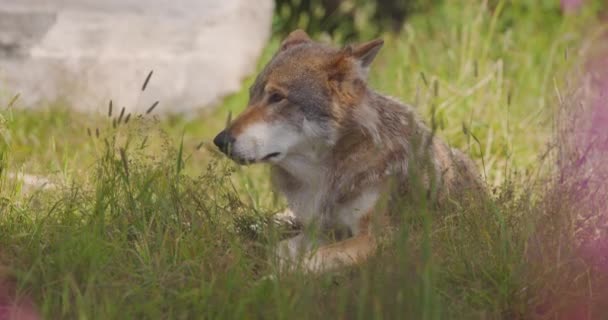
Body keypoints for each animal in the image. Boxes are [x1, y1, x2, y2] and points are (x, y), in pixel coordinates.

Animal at [211, 29, 482, 272]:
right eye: (251, 96)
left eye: (277, 97)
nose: (220, 140)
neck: (327, 176)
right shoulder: (324, 230)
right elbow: (278, 250)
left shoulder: (379, 239)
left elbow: (305, 262)